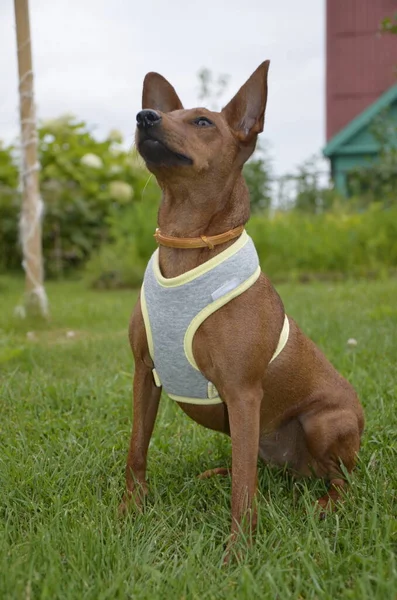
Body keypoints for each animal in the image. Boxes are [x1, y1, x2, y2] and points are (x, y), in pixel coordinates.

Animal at [120, 61, 362, 552]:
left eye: (202, 122)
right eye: (165, 112)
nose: (145, 116)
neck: (188, 245)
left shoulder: (243, 392)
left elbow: (244, 491)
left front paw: (239, 553)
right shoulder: (143, 374)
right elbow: (137, 450)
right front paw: (129, 513)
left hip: (323, 422)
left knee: (340, 479)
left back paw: (326, 503)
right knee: (254, 466)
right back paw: (216, 471)